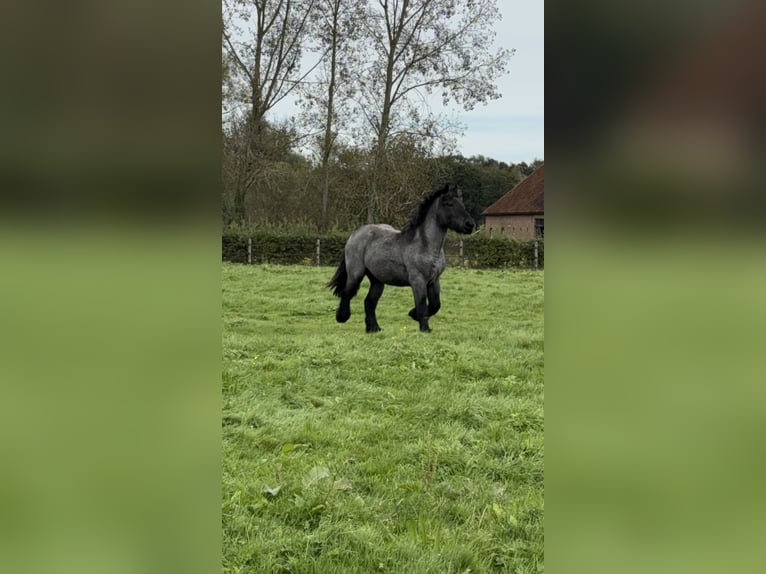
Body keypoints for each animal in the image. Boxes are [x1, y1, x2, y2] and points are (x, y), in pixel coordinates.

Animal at [328, 186, 476, 332]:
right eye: (449, 204)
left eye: (462, 204)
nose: (470, 224)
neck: (425, 246)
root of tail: (354, 234)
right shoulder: (418, 280)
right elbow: (422, 305)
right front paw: (424, 328)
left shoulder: (434, 281)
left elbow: (435, 305)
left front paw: (413, 314)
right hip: (356, 273)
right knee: (347, 293)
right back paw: (342, 317)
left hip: (377, 280)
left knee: (369, 302)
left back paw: (374, 328)